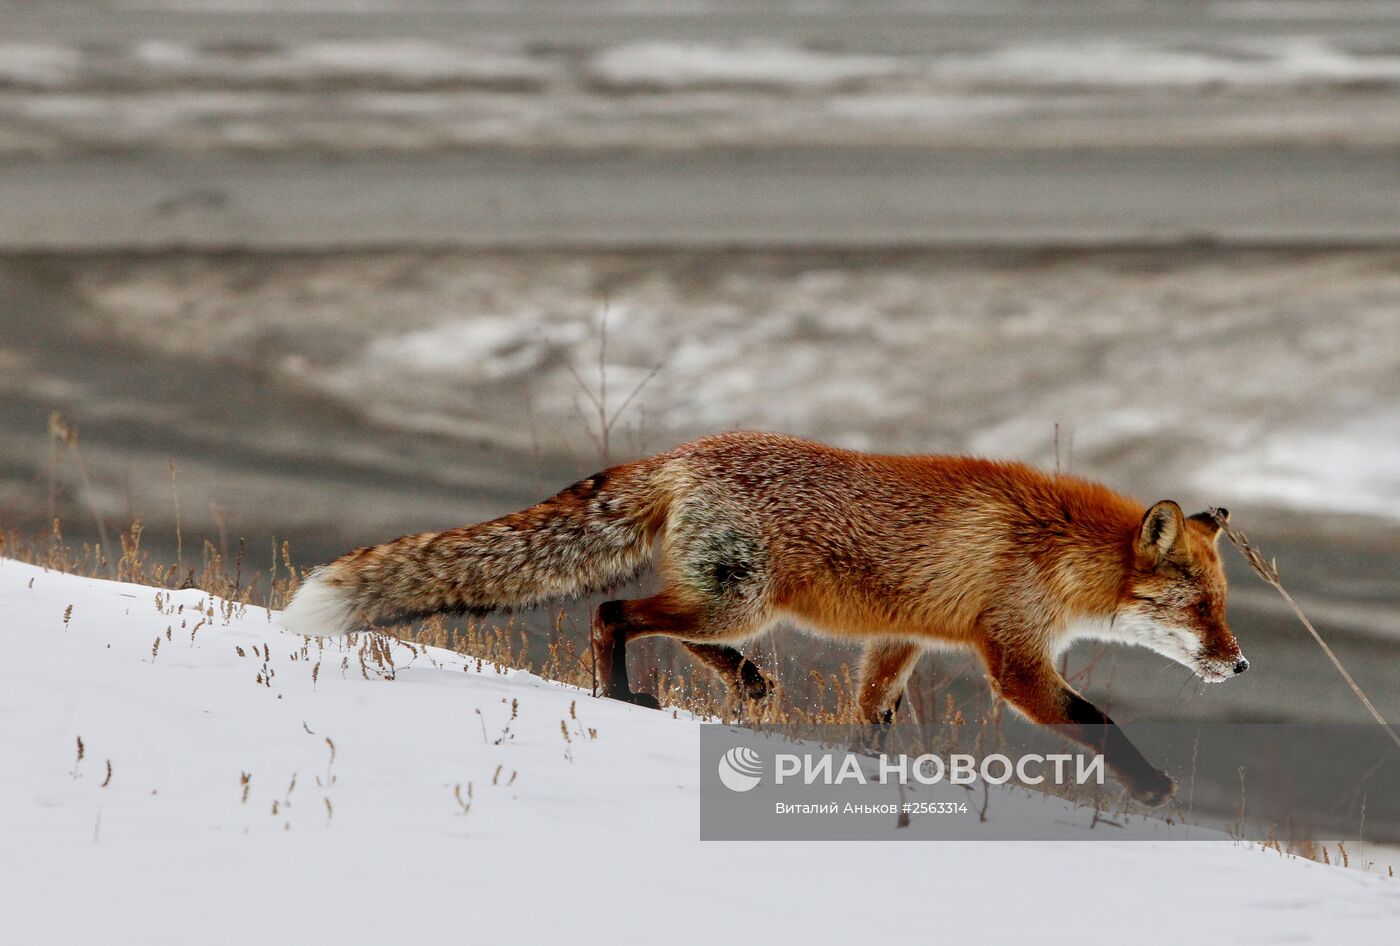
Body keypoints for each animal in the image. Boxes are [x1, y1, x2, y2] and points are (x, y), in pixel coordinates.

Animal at [284, 431, 1248, 800]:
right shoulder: (1013, 657)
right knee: (612, 612)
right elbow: (1097, 719)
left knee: (671, 631)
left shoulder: (899, 639)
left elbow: (872, 718)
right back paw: (619, 696)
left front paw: (864, 777)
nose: (1240, 666)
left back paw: (740, 683)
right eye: (1201, 607)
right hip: (735, 600)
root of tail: (686, 452)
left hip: (730, 606)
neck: (1054, 548)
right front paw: (1152, 788)